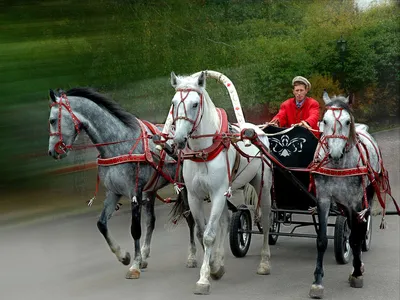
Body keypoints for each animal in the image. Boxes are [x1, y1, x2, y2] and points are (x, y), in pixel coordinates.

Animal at [47, 86, 198, 278]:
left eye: (52, 120)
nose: (52, 151)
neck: (118, 144)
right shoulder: (114, 192)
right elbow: (101, 224)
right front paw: (124, 256)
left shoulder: (134, 193)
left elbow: (135, 229)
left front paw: (134, 265)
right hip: (151, 190)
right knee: (151, 221)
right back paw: (145, 256)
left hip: (183, 187)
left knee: (189, 218)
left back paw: (191, 256)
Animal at [169, 71, 272, 294]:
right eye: (174, 103)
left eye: (195, 104)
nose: (179, 139)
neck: (202, 152)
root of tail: (255, 129)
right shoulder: (194, 196)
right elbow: (202, 233)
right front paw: (214, 267)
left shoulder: (217, 193)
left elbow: (209, 235)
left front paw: (204, 279)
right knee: (225, 221)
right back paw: (220, 260)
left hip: (263, 186)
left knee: (267, 220)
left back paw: (264, 262)